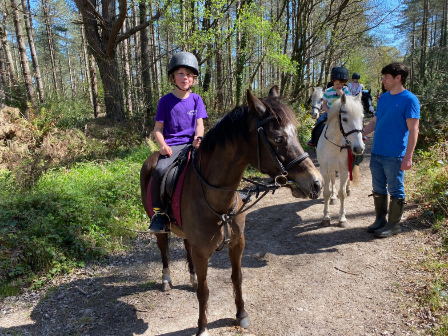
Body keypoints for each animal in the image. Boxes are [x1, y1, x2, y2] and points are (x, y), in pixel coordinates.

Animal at [140, 86, 322, 336]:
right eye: (279, 138)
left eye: (295, 133)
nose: (316, 183)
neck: (218, 200)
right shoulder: (202, 252)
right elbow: (204, 292)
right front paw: (202, 327)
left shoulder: (237, 244)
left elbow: (237, 278)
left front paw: (241, 315)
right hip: (159, 227)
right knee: (163, 249)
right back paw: (166, 279)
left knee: (186, 246)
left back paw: (192, 277)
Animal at [316, 93, 366, 227]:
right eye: (344, 119)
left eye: (362, 118)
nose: (359, 148)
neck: (335, 143)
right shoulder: (325, 170)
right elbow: (326, 192)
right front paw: (326, 217)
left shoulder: (344, 170)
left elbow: (342, 193)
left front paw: (342, 218)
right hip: (331, 169)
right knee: (333, 181)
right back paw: (333, 198)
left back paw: (347, 189)